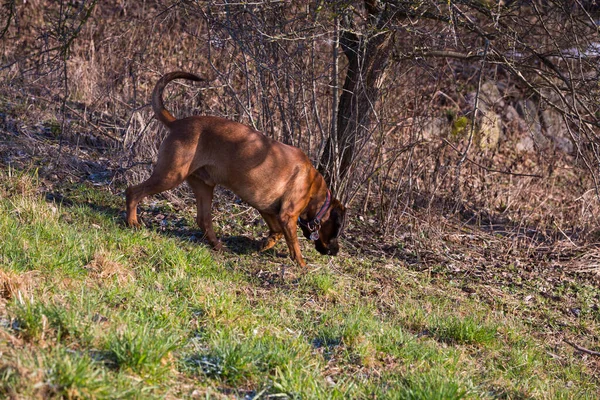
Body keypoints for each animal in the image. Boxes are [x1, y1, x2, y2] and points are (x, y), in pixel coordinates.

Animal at [124, 72, 344, 268]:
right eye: (337, 230)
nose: (336, 251)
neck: (314, 188)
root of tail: (178, 123)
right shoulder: (287, 216)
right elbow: (294, 243)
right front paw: (302, 264)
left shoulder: (267, 208)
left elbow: (277, 232)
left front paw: (265, 244)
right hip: (170, 175)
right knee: (133, 191)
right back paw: (132, 222)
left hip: (204, 186)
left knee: (203, 219)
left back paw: (219, 246)